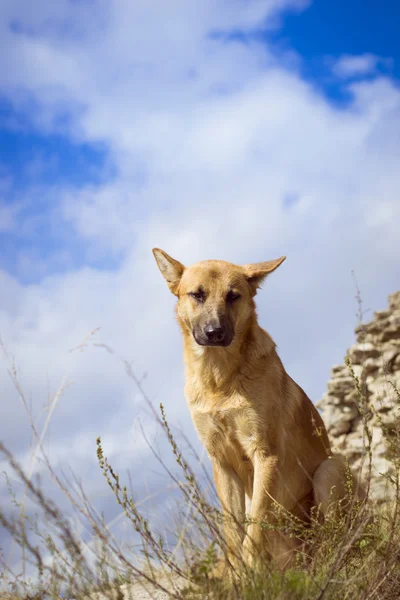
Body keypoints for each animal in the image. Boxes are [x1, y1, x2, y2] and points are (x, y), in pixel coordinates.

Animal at [152, 248, 364, 572]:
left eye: (233, 296)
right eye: (197, 295)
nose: (215, 333)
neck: (220, 379)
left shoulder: (265, 454)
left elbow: (253, 528)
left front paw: (250, 571)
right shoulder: (222, 464)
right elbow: (233, 532)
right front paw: (238, 575)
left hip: (329, 471)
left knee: (336, 541)